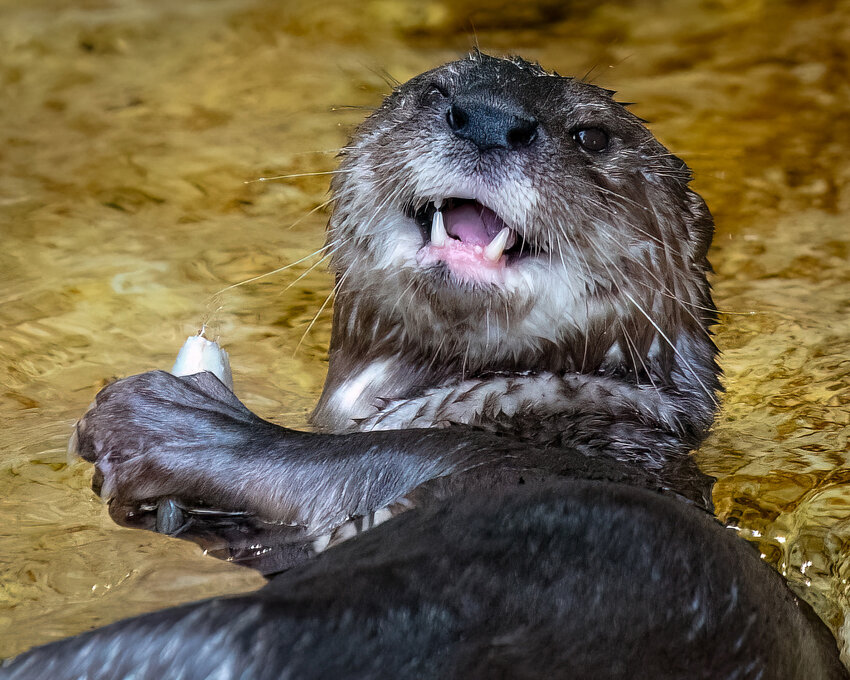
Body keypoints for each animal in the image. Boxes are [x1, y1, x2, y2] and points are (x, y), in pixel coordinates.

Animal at [3, 54, 844, 680]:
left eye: (589, 135)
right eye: (436, 93)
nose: (491, 120)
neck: (538, 416)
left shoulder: (483, 460)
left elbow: (326, 463)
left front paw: (167, 416)